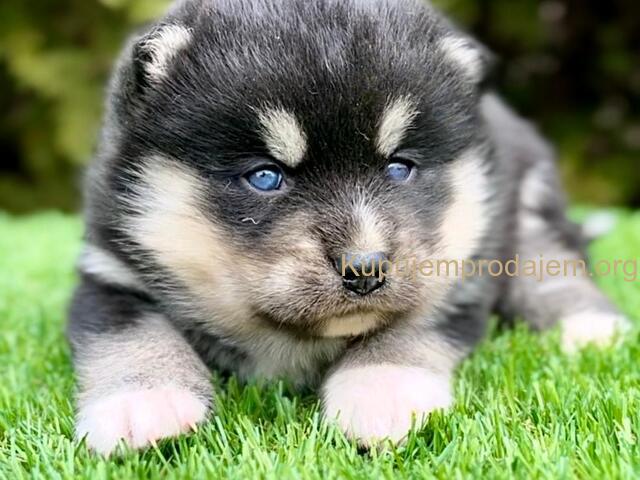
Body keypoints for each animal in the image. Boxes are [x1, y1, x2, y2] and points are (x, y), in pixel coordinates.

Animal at [68, 0, 629, 455]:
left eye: (400, 167)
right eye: (265, 176)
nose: (366, 269)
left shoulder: (455, 275)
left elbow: (406, 326)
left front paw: (383, 391)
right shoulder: (110, 271)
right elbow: (132, 331)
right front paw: (144, 403)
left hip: (528, 201)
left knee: (550, 264)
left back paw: (591, 326)